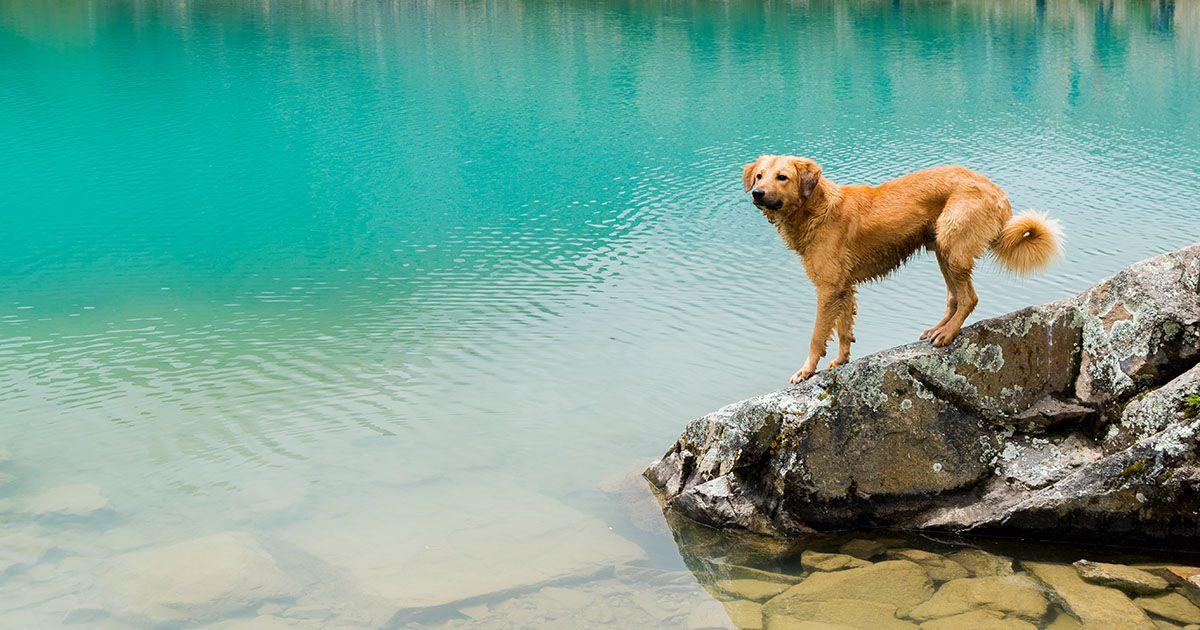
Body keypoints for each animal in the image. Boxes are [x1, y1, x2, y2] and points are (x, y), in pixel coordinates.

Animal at [744, 156, 1065, 384]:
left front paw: (806, 371)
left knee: (969, 298)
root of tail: (998, 191)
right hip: (941, 248)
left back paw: (947, 335)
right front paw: (842, 360)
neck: (817, 210)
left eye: (782, 177)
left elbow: (816, 336)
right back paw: (938, 329)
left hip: (952, 244)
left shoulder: (828, 288)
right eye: (759, 175)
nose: (757, 193)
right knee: (954, 297)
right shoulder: (843, 288)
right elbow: (844, 329)